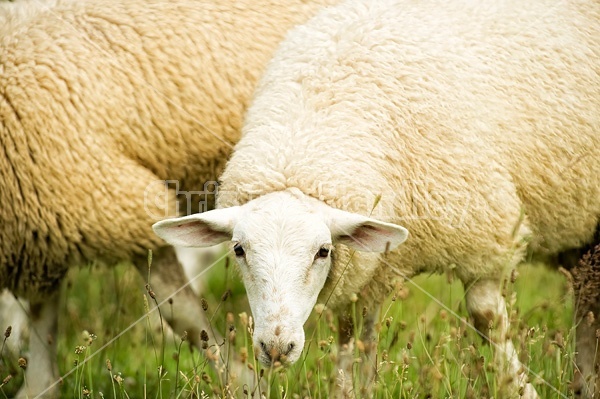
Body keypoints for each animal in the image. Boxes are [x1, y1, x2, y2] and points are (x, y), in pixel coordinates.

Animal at [0, 0, 338, 396]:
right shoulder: (44, 223)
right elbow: (43, 314)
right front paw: (37, 382)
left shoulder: (112, 201)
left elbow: (184, 314)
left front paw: (243, 382)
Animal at [154, 0, 600, 398]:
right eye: (239, 250)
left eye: (322, 251)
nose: (276, 348)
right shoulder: (367, 273)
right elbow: (356, 345)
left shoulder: (485, 234)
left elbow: (487, 316)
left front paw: (520, 389)